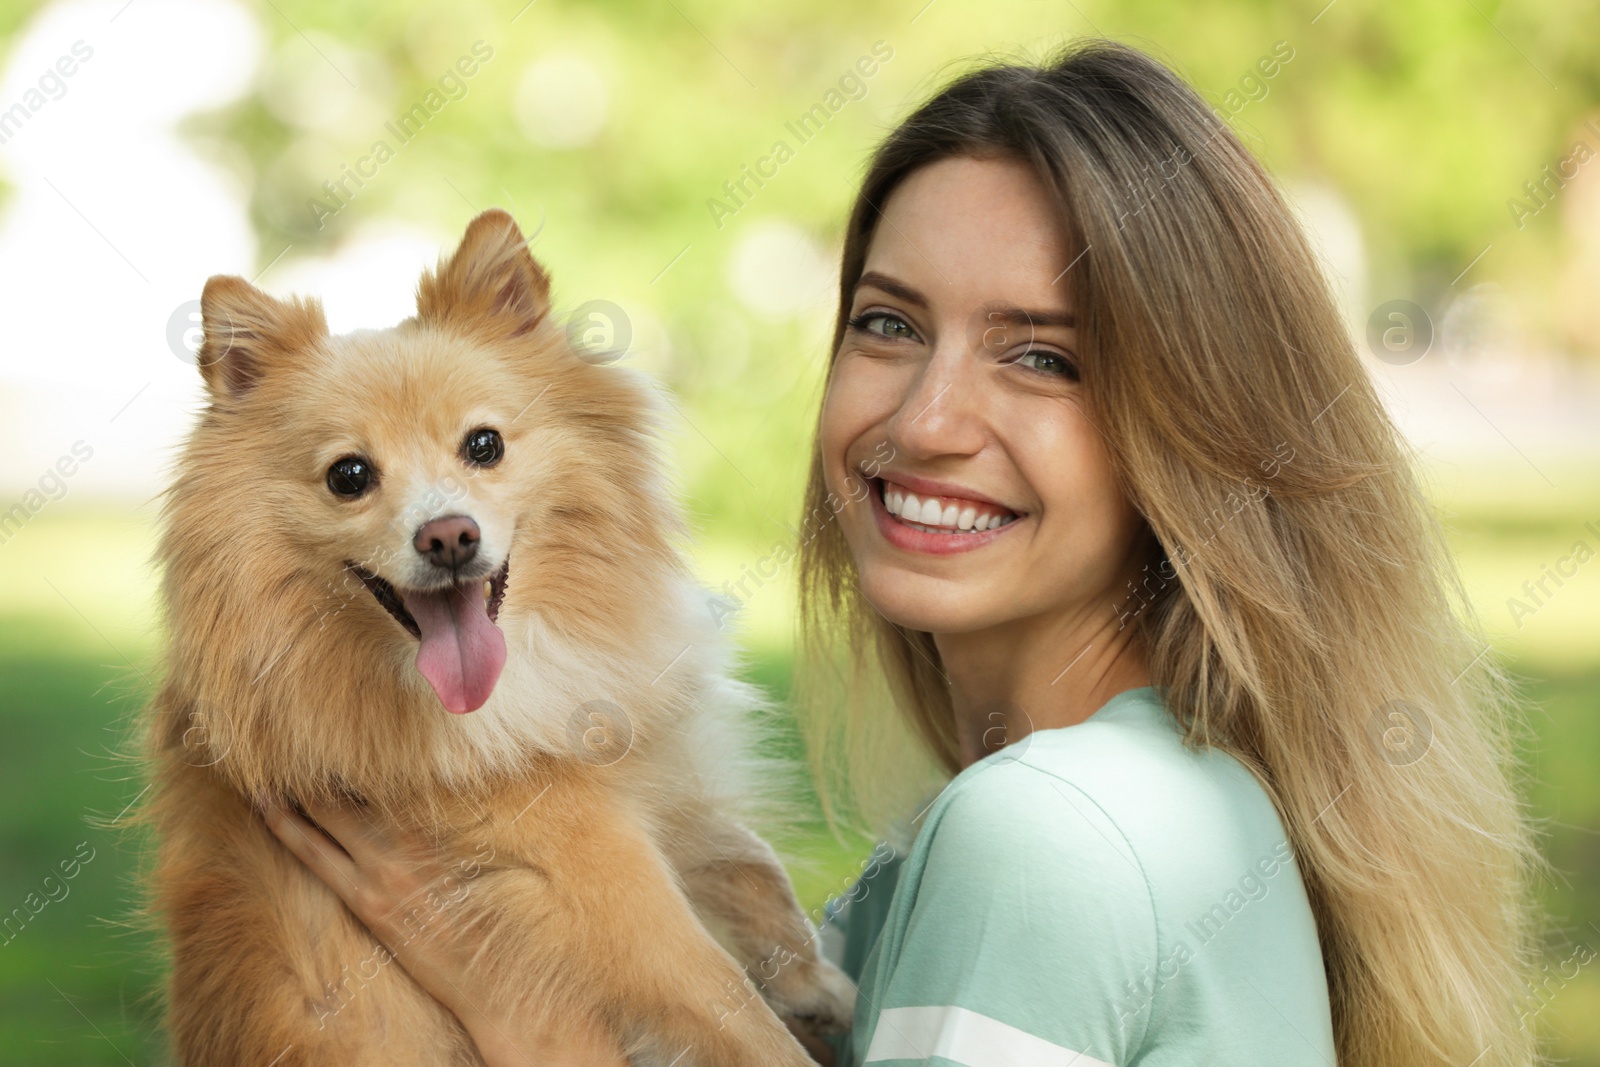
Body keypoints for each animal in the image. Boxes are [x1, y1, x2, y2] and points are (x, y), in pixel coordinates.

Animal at [137, 211, 857, 1067]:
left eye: (484, 445)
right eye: (349, 476)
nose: (448, 535)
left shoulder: (652, 761)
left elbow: (749, 860)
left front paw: (817, 984)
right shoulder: (593, 871)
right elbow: (723, 998)